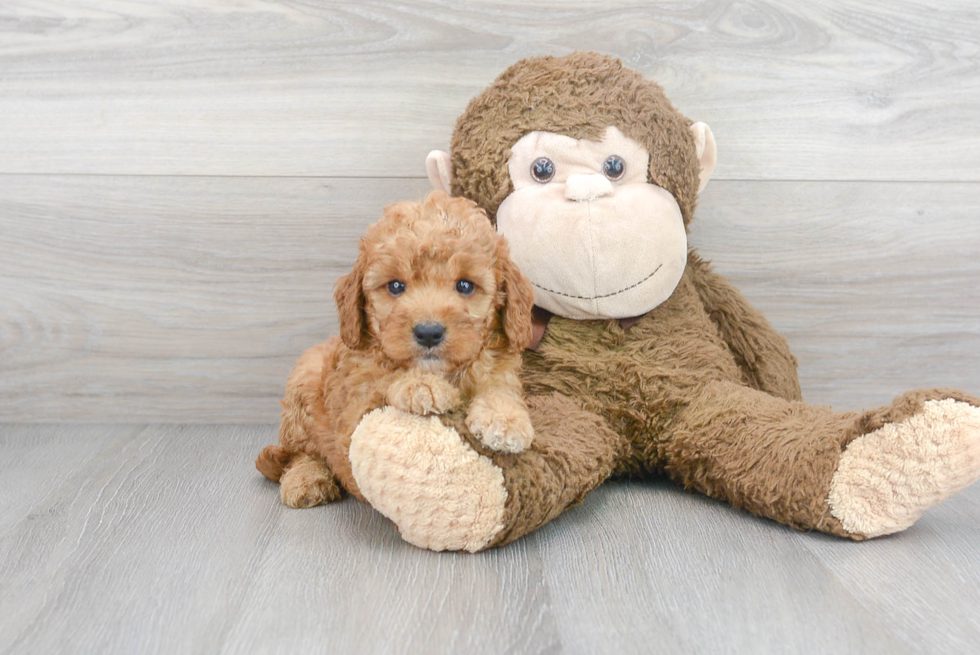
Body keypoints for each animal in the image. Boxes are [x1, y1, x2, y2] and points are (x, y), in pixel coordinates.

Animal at [256, 190, 536, 508]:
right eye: (396, 286)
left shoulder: (499, 368)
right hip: (305, 383)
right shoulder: (353, 412)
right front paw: (420, 386)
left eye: (465, 286)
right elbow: (382, 380)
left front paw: (504, 418)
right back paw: (306, 480)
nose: (428, 332)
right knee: (301, 452)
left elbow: (499, 388)